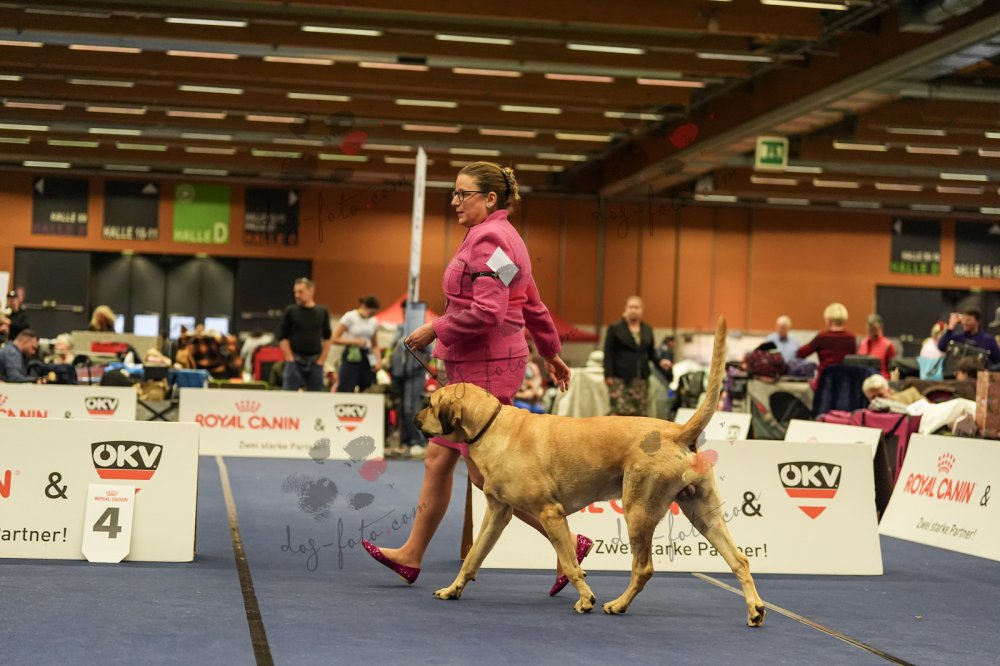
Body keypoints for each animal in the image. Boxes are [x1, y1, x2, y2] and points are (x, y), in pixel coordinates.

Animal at [415, 317, 765, 625]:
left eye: (430, 404)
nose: (416, 420)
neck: (492, 426)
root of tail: (676, 431)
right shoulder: (498, 513)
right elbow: (474, 556)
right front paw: (452, 589)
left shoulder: (551, 514)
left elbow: (570, 565)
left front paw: (586, 599)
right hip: (703, 513)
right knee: (739, 559)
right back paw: (755, 610)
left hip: (638, 512)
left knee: (643, 569)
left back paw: (618, 605)